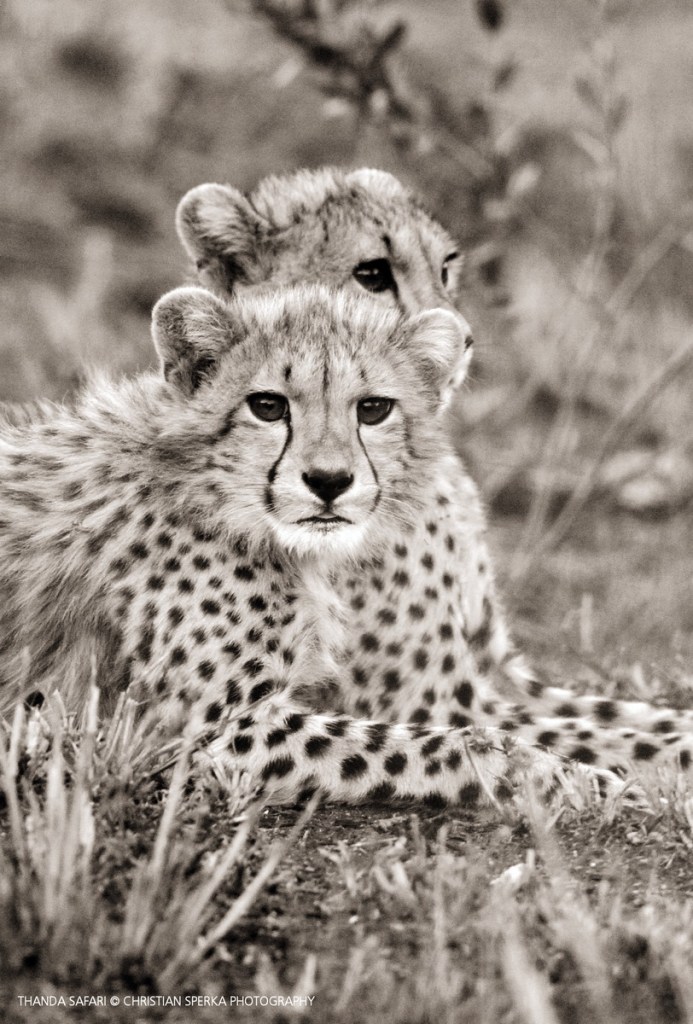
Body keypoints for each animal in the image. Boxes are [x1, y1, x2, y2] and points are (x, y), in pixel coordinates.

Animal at [174, 166, 693, 777]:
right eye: (372, 273)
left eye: (445, 266)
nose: (462, 339)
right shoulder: (441, 700)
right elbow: (616, 739)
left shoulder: (501, 671)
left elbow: (632, 715)